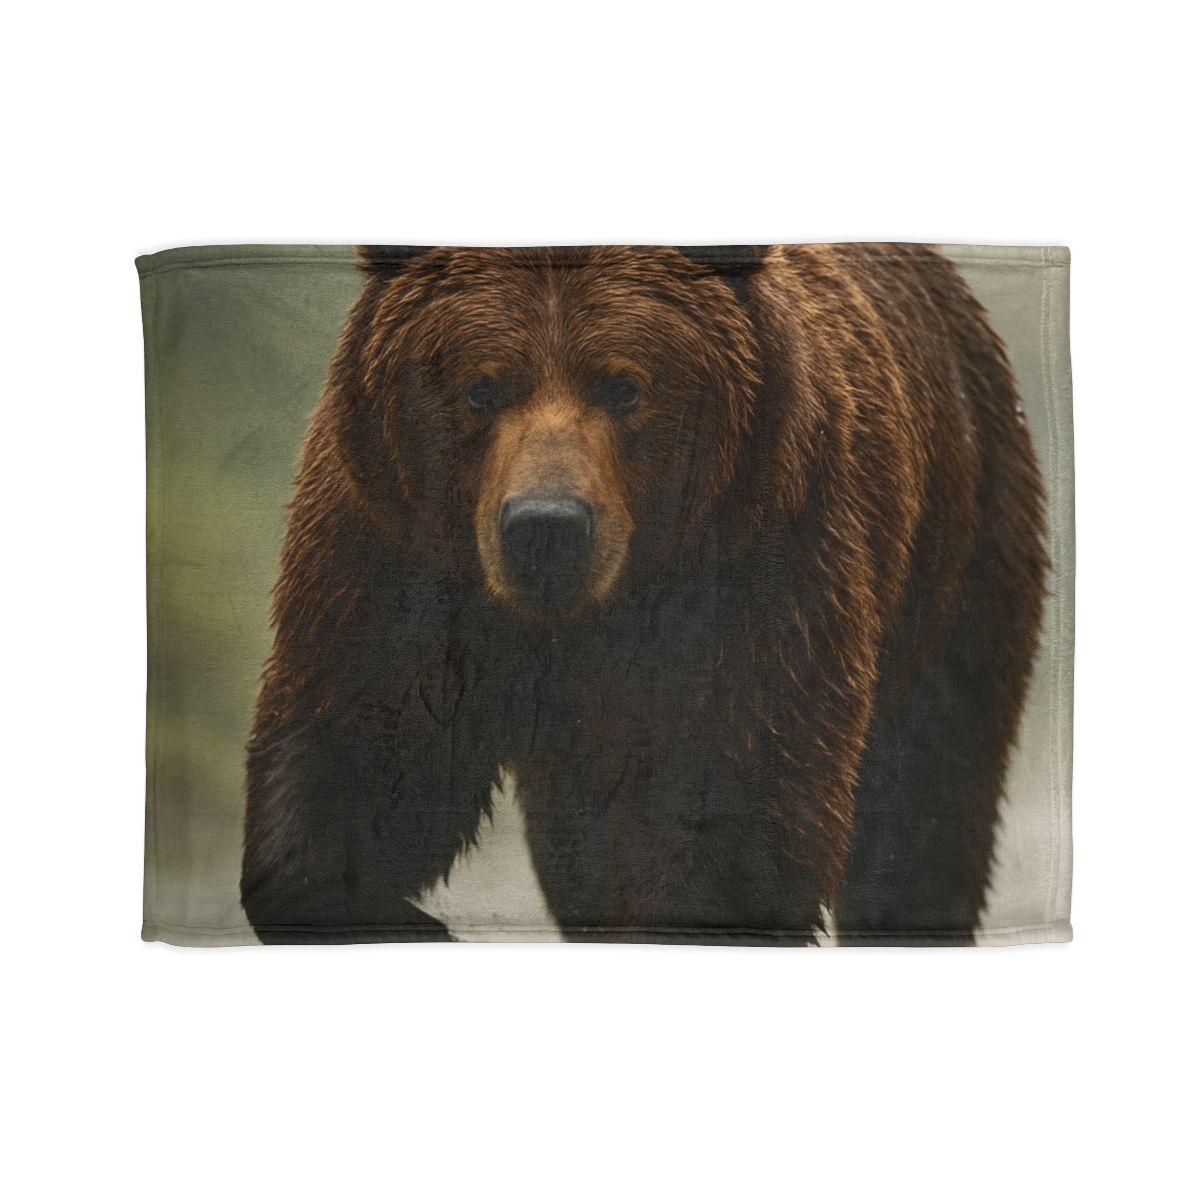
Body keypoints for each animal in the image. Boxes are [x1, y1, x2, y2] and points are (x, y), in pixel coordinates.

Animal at [241, 243, 1046, 945]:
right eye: (481, 386)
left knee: (924, 805)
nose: (546, 527)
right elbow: (362, 746)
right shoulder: (393, 551)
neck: (578, 618)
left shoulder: (764, 565)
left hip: (959, 556)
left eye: (625, 385)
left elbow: (735, 805)